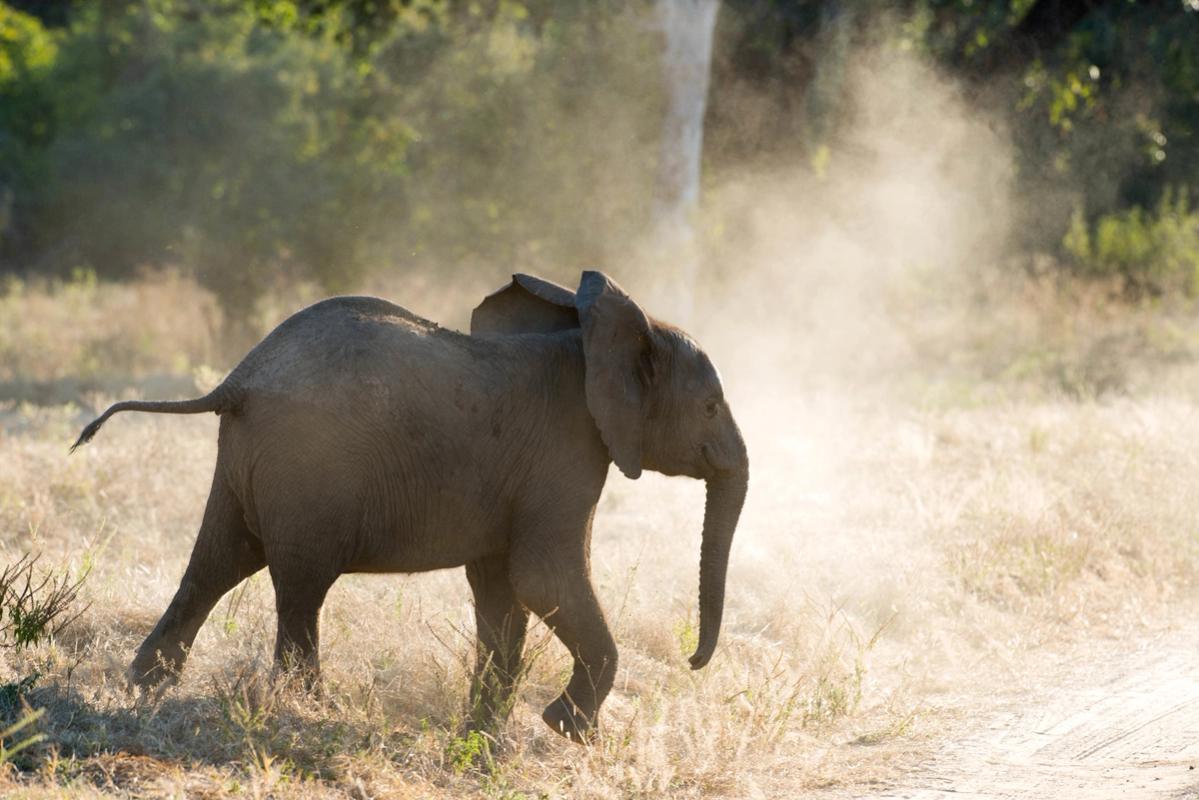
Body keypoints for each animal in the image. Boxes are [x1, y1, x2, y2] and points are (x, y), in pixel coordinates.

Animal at [70, 271, 743, 743]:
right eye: (710, 406)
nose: (692, 660)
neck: (594, 335)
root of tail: (240, 378)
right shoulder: (567, 456)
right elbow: (541, 577)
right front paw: (567, 731)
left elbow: (501, 590)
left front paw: (483, 734)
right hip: (310, 467)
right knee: (300, 589)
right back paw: (308, 712)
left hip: (248, 462)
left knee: (218, 561)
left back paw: (143, 690)